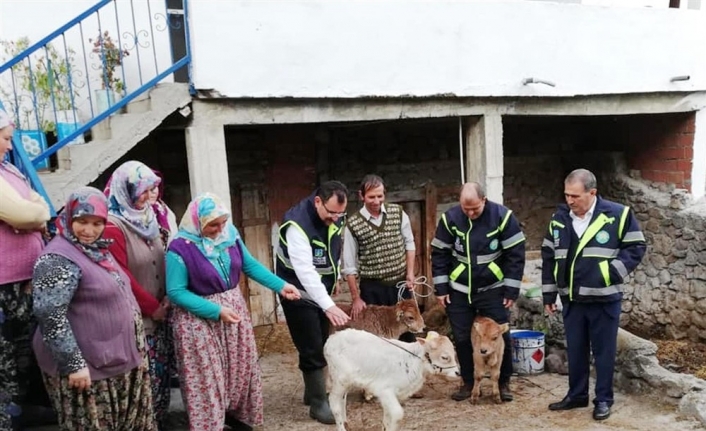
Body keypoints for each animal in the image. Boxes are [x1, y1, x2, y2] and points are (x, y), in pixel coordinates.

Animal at [324, 330, 460, 430]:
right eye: (444, 357)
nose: (458, 372)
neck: (414, 361)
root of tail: (331, 338)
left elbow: (388, 417)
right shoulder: (384, 389)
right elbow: (397, 413)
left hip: (347, 381)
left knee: (343, 399)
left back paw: (346, 422)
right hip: (339, 379)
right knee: (334, 401)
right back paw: (341, 426)